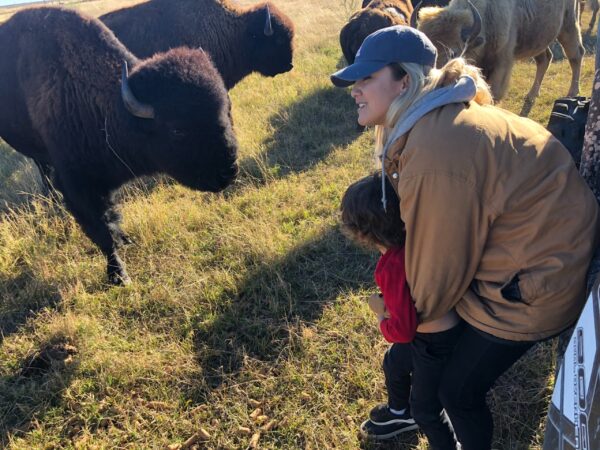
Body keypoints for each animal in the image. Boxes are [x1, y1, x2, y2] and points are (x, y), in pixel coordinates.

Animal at [0, 7, 239, 284]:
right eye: (177, 129)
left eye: (226, 111)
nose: (228, 170)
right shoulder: (78, 186)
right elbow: (101, 231)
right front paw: (118, 275)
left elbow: (112, 217)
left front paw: (125, 239)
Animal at [410, 0, 584, 116]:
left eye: (454, 52)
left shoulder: (501, 64)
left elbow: (494, 93)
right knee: (545, 59)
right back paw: (531, 96)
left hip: (568, 25)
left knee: (576, 55)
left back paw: (572, 93)